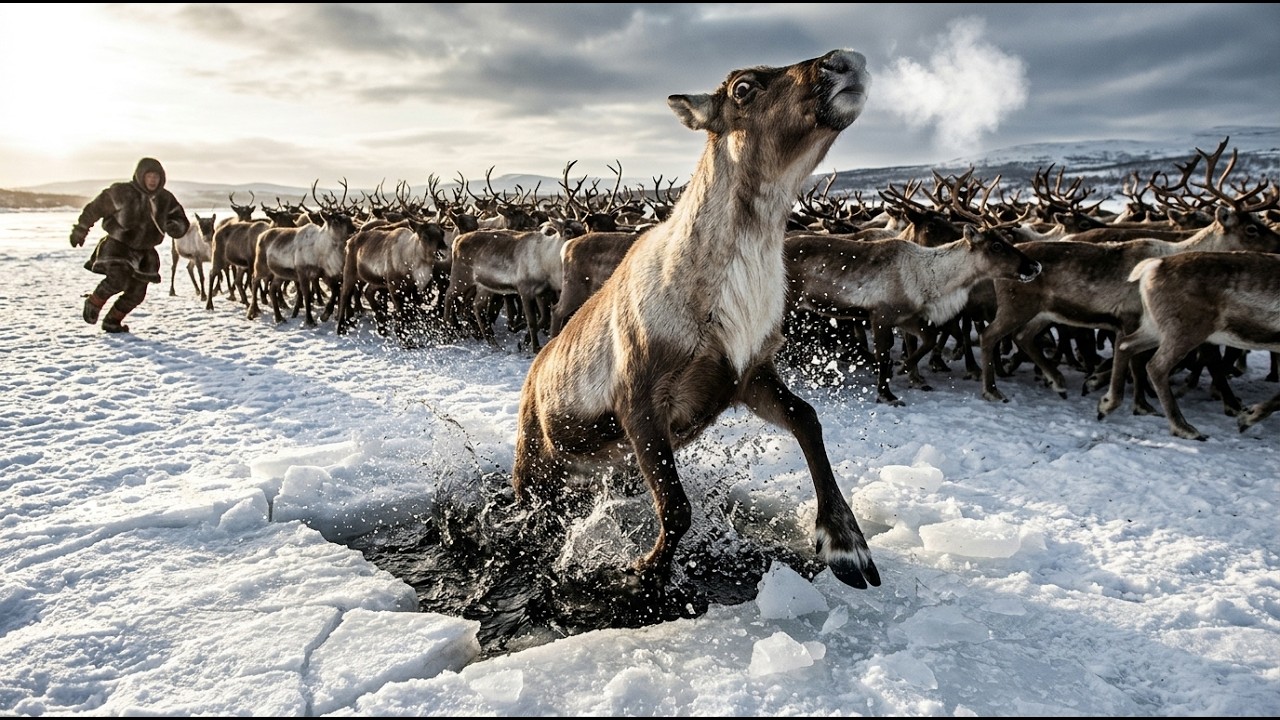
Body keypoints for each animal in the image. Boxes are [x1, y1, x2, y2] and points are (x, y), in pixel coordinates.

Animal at [513, 49, 880, 593]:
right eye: (743, 87)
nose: (847, 60)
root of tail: (534, 371)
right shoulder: (640, 397)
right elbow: (677, 507)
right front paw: (643, 574)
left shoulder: (748, 375)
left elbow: (807, 419)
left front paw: (847, 546)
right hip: (535, 456)